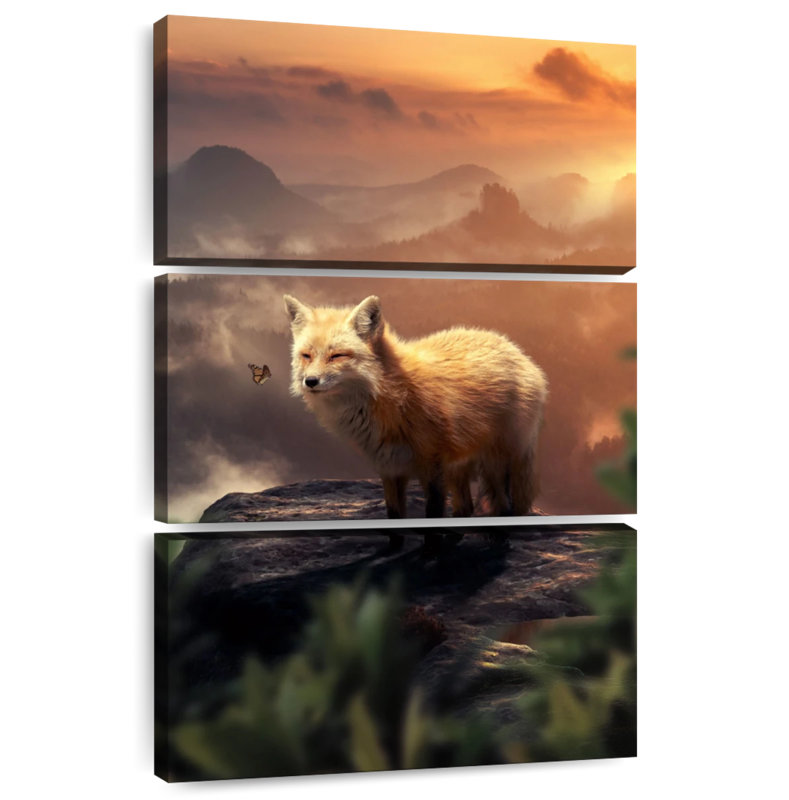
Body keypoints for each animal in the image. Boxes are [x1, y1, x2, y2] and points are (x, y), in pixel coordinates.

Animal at [284, 294, 548, 520]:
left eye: (337, 356)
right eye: (306, 355)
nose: (310, 381)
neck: (391, 396)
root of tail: (515, 350)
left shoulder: (433, 467)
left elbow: (432, 518)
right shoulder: (389, 467)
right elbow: (395, 520)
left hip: (496, 464)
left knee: (504, 507)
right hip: (461, 470)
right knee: (466, 508)